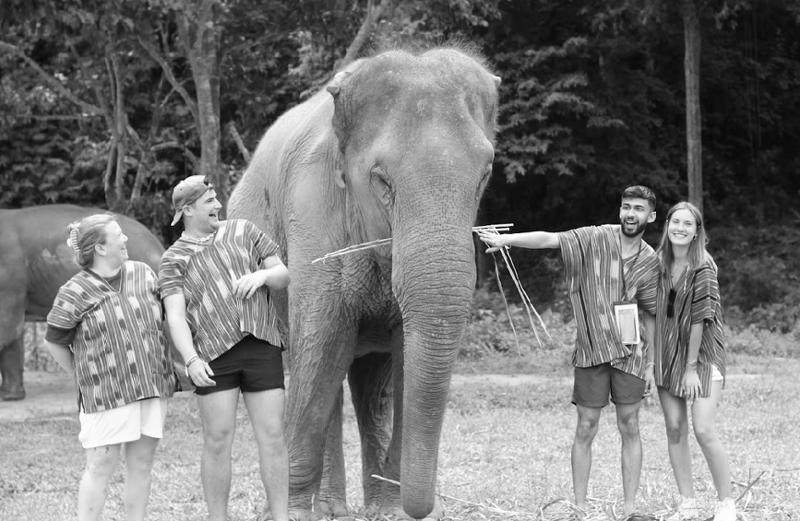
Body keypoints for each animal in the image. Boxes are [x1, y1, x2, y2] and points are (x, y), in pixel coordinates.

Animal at [228, 47, 500, 520]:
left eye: (485, 174)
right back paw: (330, 509)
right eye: (381, 179)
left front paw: (390, 512)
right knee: (319, 367)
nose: (423, 509)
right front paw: (290, 512)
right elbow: (322, 344)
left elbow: (407, 358)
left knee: (371, 387)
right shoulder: (313, 210)